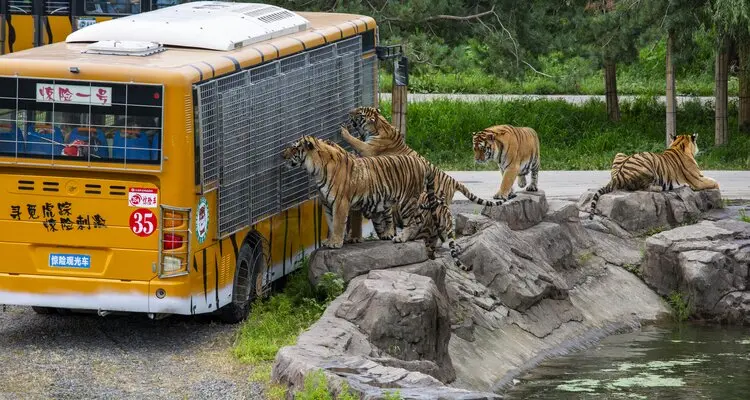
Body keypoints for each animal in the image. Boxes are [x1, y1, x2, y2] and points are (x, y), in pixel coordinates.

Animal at [281, 134, 442, 249]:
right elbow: (331, 224)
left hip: (406, 200)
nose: (282, 155)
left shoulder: (340, 202)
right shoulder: (326, 203)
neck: (315, 171)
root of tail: (422, 162)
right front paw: (331, 240)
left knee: (413, 221)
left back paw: (401, 238)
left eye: (294, 148)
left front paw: (336, 243)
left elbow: (338, 223)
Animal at [343, 107, 505, 207]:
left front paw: (343, 130)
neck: (380, 125)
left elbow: (355, 141)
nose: (349, 112)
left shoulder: (368, 149)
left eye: (359, 112)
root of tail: (453, 180)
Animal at [588, 133, 720, 219]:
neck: (678, 145)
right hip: (648, 166)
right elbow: (715, 182)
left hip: (620, 154)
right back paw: (659, 187)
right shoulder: (698, 180)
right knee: (641, 187)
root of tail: (618, 176)